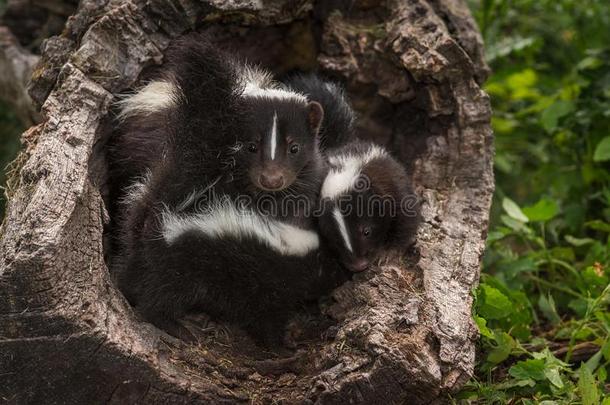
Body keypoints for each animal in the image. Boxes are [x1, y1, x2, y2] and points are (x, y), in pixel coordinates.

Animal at [109, 35, 346, 344]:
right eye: (330, 262)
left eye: (294, 148)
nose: (348, 273)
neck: (286, 246)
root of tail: (160, 214)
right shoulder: (264, 285)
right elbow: (265, 320)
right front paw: (283, 344)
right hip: (179, 267)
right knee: (159, 299)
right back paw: (180, 328)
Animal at [314, 140, 418, 274]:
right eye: (335, 240)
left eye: (367, 231)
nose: (359, 265)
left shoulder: (394, 189)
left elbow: (405, 220)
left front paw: (387, 253)